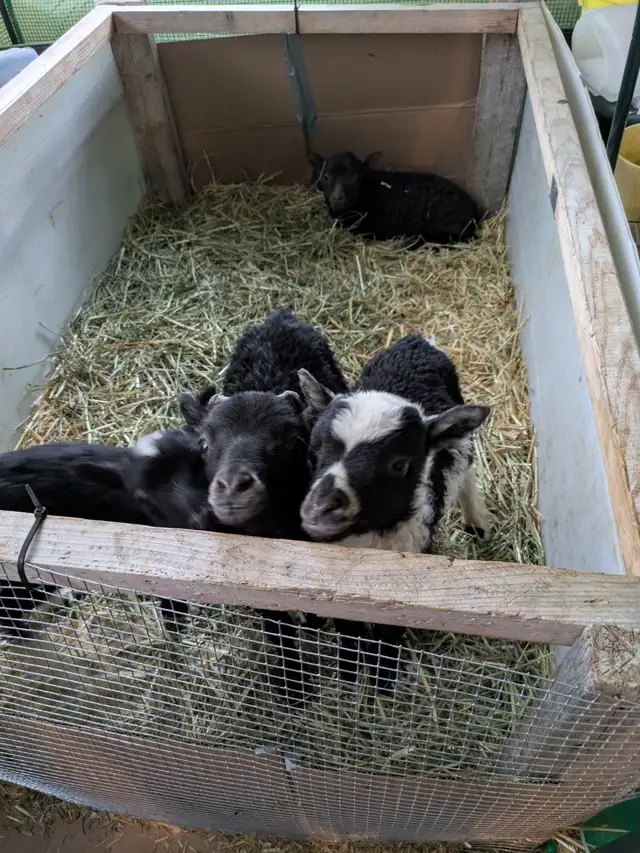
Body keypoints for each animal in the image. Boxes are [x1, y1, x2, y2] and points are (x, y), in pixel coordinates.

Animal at [297, 333, 492, 686]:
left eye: (399, 464)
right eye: (313, 450)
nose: (320, 508)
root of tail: (416, 341)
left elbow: (389, 635)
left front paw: (383, 683)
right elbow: (348, 628)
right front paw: (349, 676)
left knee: (467, 465)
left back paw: (477, 521)